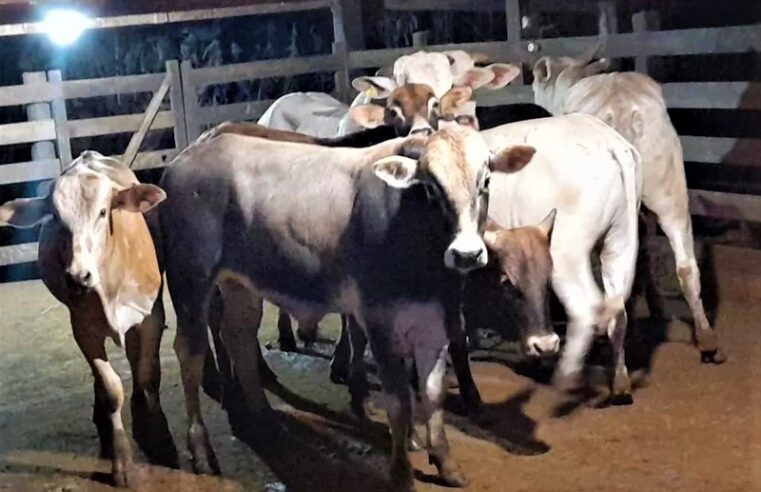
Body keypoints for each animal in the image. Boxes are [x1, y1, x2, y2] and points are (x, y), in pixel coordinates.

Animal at [0, 151, 171, 488]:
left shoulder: (150, 317)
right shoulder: (82, 328)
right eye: (55, 217)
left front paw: (157, 436)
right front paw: (121, 462)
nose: (79, 276)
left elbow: (146, 375)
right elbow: (111, 389)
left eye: (103, 212)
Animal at [154, 126, 536, 488]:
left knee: (240, 339)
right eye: (430, 188)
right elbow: (399, 401)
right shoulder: (380, 321)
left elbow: (432, 395)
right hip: (191, 281)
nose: (467, 254)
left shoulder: (435, 324)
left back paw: (262, 415)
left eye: (486, 181)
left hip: (241, 286)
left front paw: (446, 463)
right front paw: (401, 472)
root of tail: (188, 156)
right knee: (191, 354)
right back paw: (201, 450)